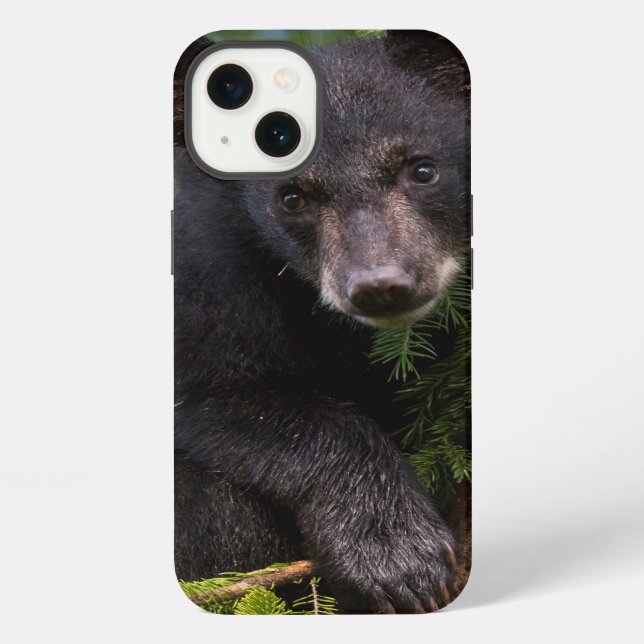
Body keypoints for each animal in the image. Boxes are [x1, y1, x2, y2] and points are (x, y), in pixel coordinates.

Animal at [173, 31, 471, 614]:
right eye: (292, 198)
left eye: (422, 168)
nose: (380, 284)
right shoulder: (209, 274)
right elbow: (213, 393)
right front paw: (396, 556)